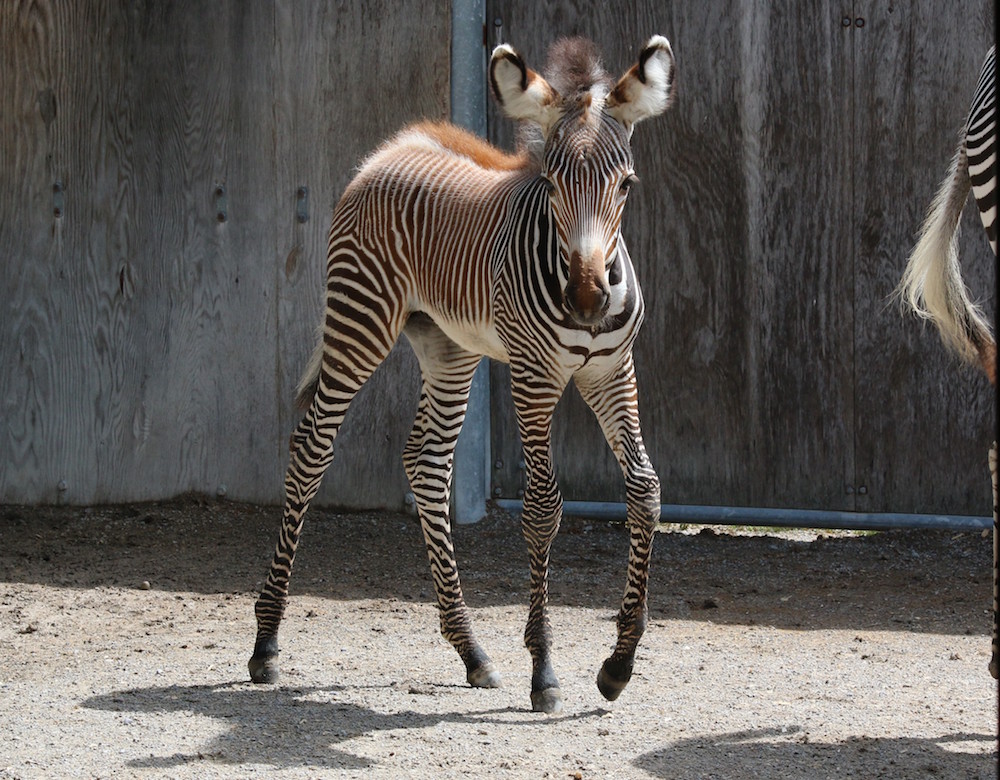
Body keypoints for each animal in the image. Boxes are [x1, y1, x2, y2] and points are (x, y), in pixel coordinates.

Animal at [248, 36, 680, 712]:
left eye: (627, 185)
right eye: (550, 183)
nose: (587, 300)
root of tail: (395, 145)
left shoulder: (612, 372)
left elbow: (644, 489)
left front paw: (619, 663)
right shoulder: (533, 376)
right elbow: (543, 505)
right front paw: (544, 670)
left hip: (448, 346)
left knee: (426, 464)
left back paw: (471, 650)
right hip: (359, 321)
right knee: (310, 450)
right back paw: (266, 642)